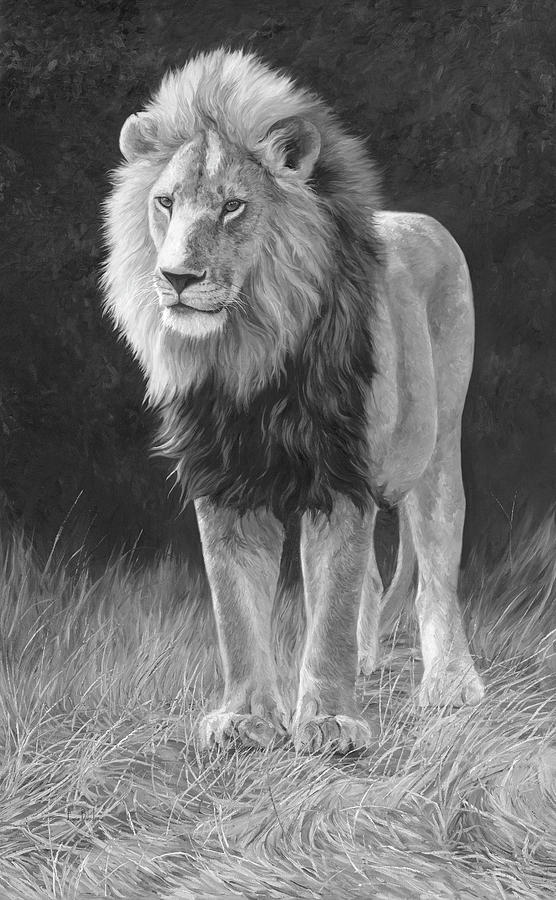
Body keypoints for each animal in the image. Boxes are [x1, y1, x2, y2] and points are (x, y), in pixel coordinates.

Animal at [102, 48, 485, 753]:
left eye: (233, 207)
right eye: (165, 202)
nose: (176, 278)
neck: (249, 358)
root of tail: (419, 219)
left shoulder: (342, 478)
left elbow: (329, 609)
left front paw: (330, 721)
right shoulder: (223, 484)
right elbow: (237, 613)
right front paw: (245, 719)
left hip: (440, 447)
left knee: (436, 572)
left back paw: (450, 686)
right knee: (369, 581)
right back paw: (368, 662)